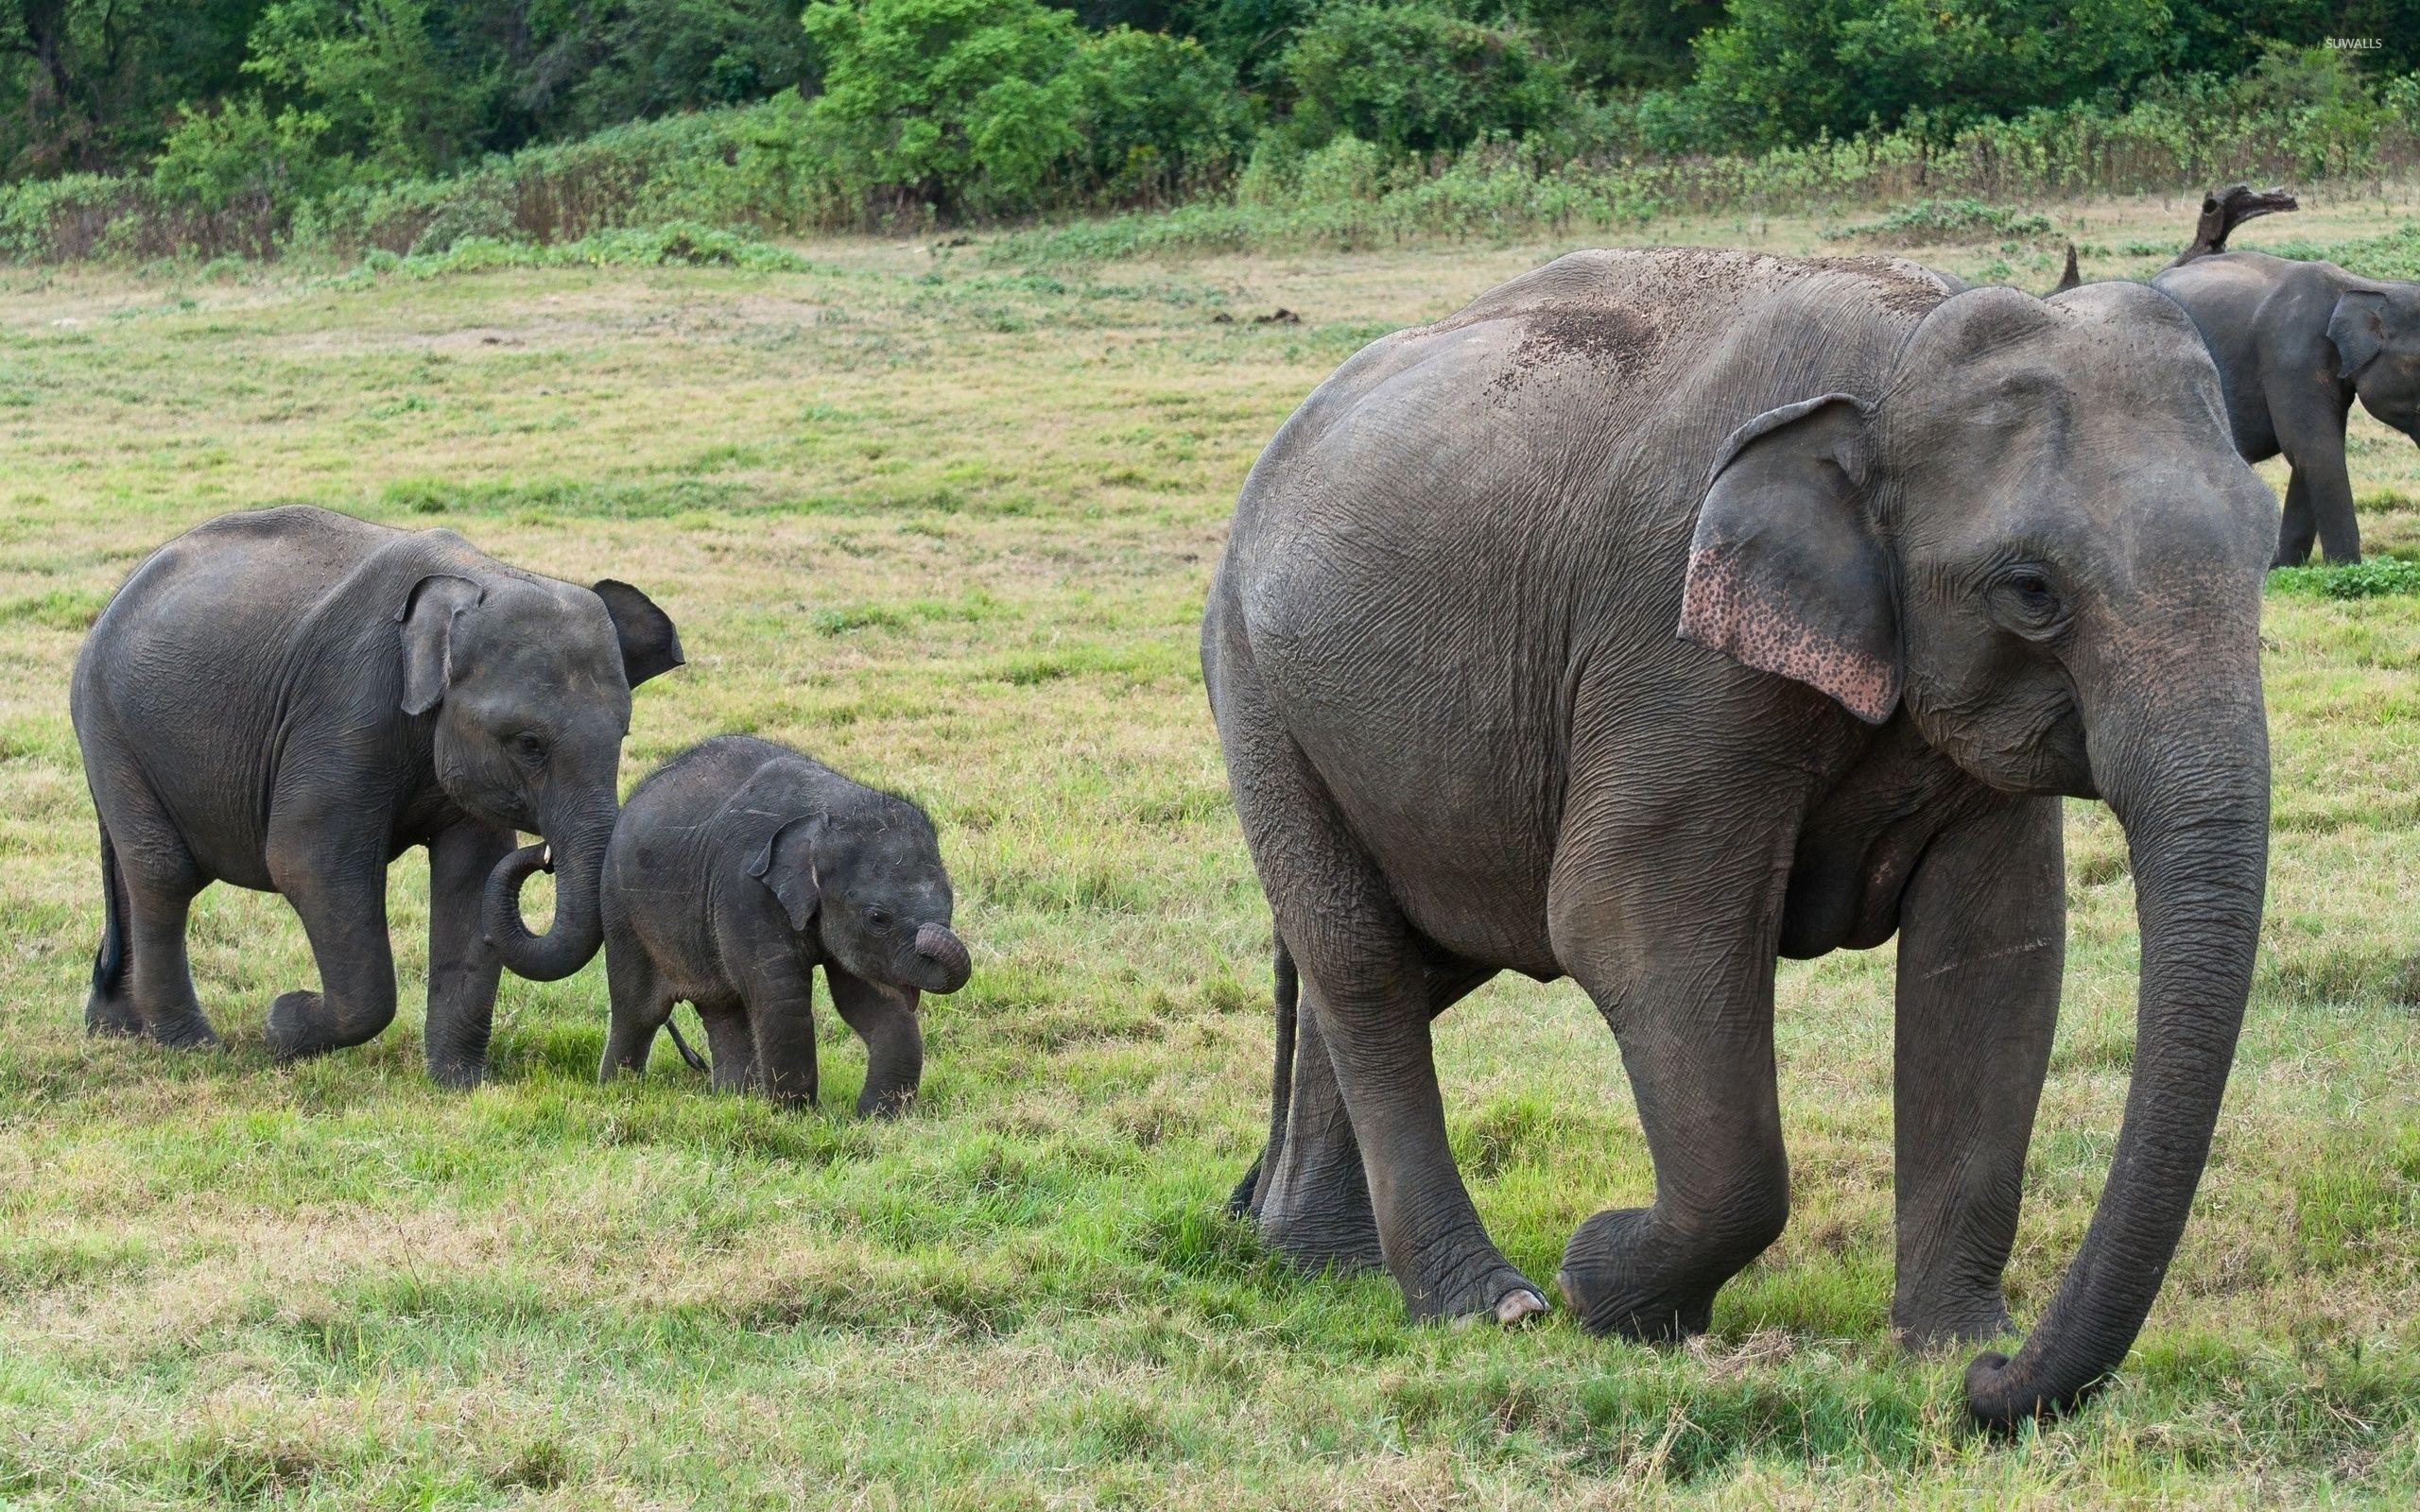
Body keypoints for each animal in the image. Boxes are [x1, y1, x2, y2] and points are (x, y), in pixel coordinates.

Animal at [76, 507, 682, 1083]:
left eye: (623, 735)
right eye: (529, 744)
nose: (543, 856)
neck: (478, 580)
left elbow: (471, 876)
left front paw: (460, 1083)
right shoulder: (346, 707)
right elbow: (308, 862)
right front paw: (283, 1025)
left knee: (139, 873)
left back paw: (118, 1030)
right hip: (109, 725)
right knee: (165, 873)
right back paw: (192, 1045)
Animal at [597, 730, 973, 1108]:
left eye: (949, 907)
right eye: (877, 919)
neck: (829, 811)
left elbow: (872, 999)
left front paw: (876, 1116)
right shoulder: (743, 888)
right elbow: (781, 997)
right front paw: (794, 1114)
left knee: (723, 1008)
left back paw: (734, 1099)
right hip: (620, 910)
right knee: (638, 1010)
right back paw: (618, 1089)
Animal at [1210, 248, 2284, 1422]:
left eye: (2268, 551)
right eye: (2032, 590)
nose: (1995, 1383)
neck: (1906, 353)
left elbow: (1992, 958)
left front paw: (1945, 1345)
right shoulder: (1669, 652)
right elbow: (1624, 921)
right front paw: (1604, 1286)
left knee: (1402, 960)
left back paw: (1315, 1257)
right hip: (1256, 686)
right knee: (1361, 960)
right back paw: (1485, 1305)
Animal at [2158, 249, 2420, 563]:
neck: (2359, 284)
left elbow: (2307, 455)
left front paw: (2286, 565)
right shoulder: (2291, 357)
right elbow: (2314, 449)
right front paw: (2346, 565)